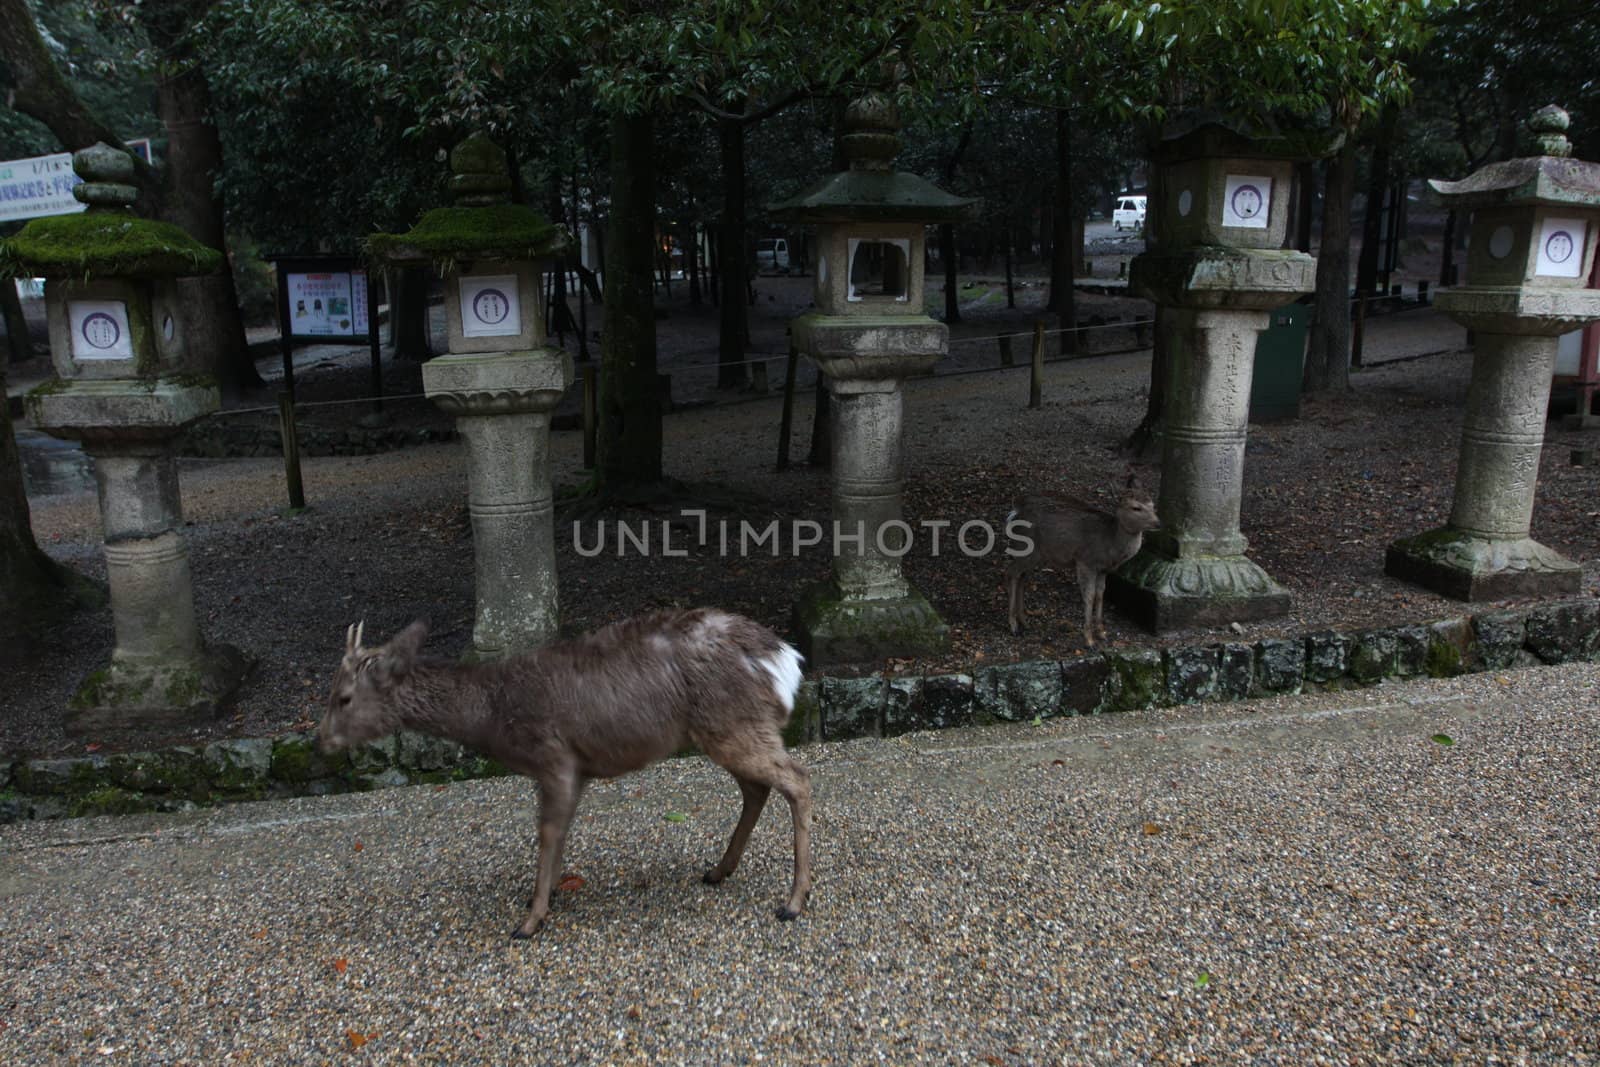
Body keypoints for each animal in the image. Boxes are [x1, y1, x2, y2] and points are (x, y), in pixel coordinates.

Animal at [318, 604, 812, 940]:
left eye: (343, 697)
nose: (321, 740)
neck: (492, 716)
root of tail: (785, 661)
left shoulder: (553, 756)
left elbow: (548, 831)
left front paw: (530, 920)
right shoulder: (576, 769)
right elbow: (563, 829)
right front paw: (549, 893)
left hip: (732, 723)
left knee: (798, 779)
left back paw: (793, 902)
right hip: (729, 727)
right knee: (757, 788)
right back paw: (718, 870)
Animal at [1004, 479, 1158, 646]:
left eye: (1153, 504)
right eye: (1136, 507)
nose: (1158, 523)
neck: (1110, 546)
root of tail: (1015, 510)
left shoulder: (1103, 569)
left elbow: (1100, 594)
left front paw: (1102, 633)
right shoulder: (1085, 561)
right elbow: (1089, 595)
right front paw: (1089, 639)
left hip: (1037, 555)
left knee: (1022, 577)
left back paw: (1024, 621)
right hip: (1026, 548)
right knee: (1011, 572)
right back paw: (1013, 625)